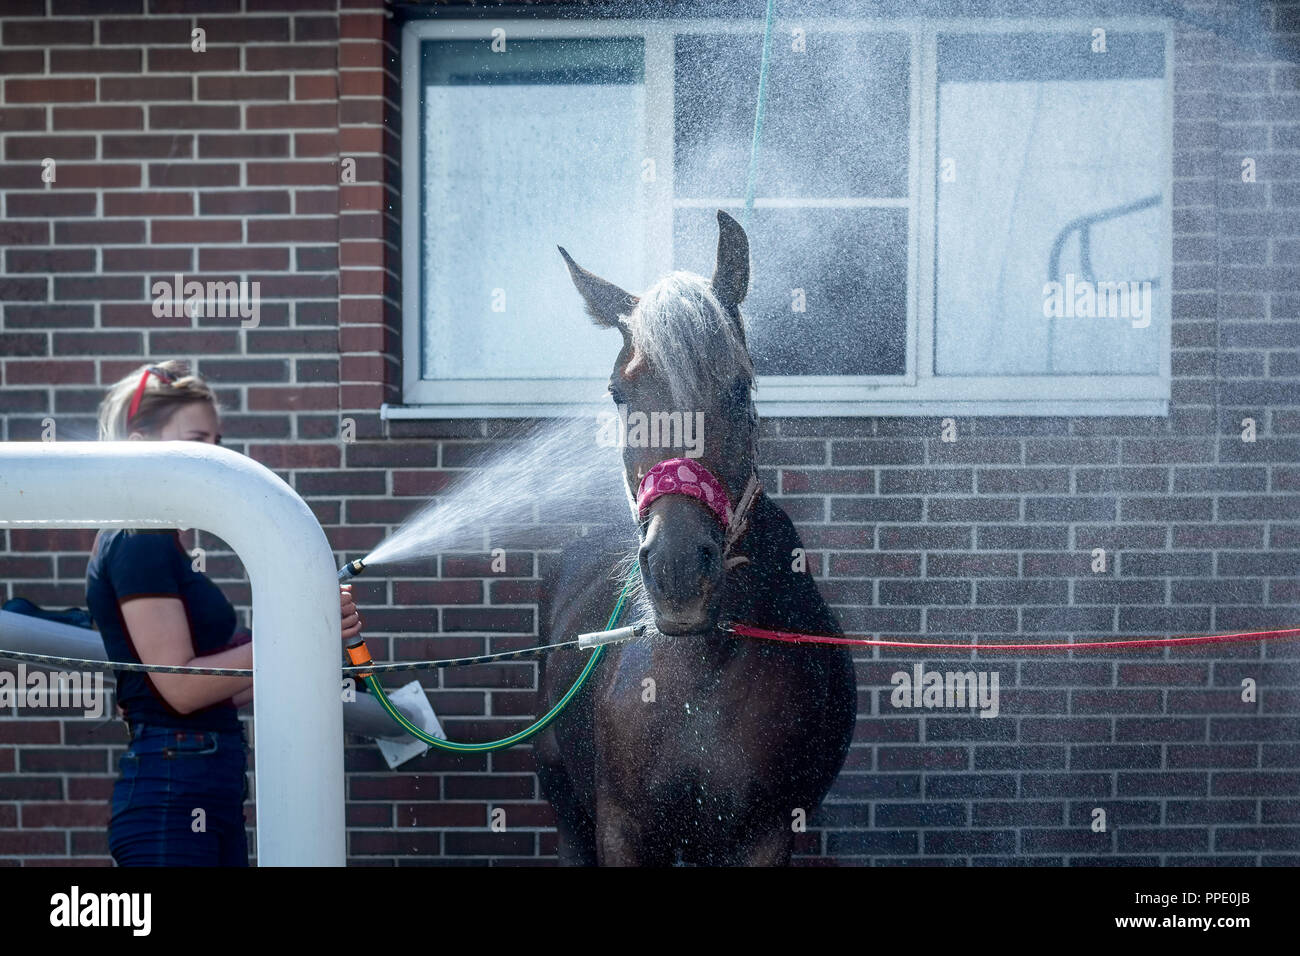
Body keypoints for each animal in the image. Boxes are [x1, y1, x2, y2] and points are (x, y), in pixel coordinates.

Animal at [533, 209, 857, 868]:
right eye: (618, 394)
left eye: (738, 387)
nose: (678, 570)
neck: (697, 675)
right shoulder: (619, 831)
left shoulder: (764, 835)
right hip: (566, 810)